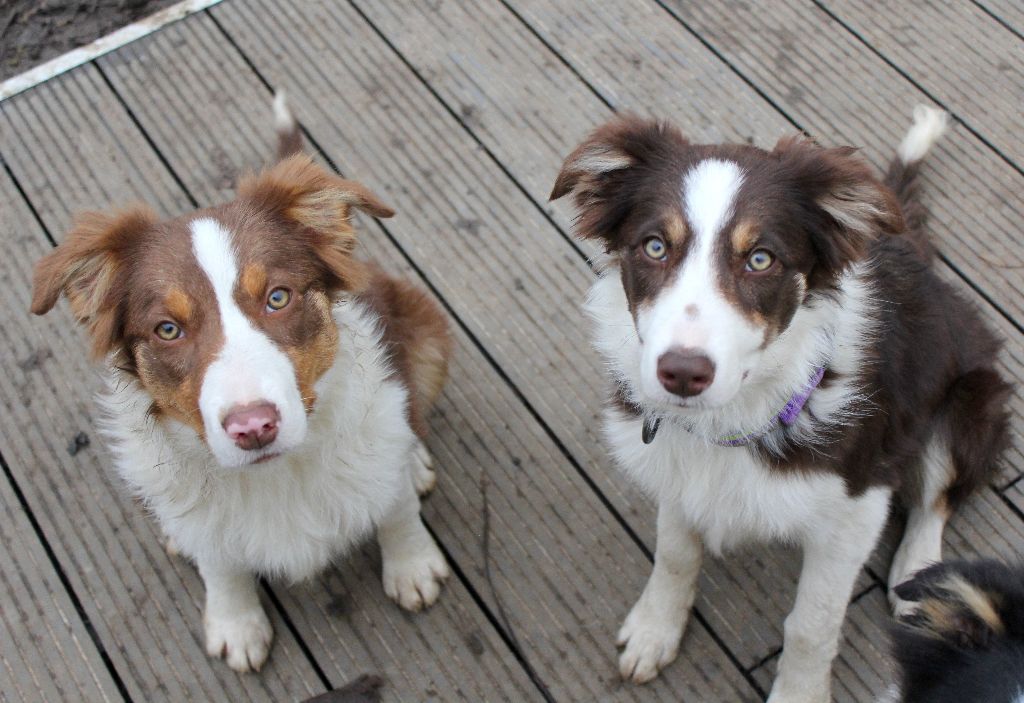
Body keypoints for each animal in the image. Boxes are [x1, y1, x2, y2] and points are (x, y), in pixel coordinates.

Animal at [29, 96, 452, 675]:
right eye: (167, 330)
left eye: (278, 297)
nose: (254, 428)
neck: (275, 475)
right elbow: (219, 562)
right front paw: (235, 623)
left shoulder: (381, 448)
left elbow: (395, 509)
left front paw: (412, 565)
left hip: (426, 332)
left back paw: (416, 461)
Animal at [552, 105, 1007, 703]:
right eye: (654, 246)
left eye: (761, 259)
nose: (682, 374)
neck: (731, 419)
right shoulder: (674, 466)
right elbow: (675, 553)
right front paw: (655, 630)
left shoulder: (856, 511)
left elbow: (812, 625)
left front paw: (799, 692)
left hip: (966, 406)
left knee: (937, 499)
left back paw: (920, 571)